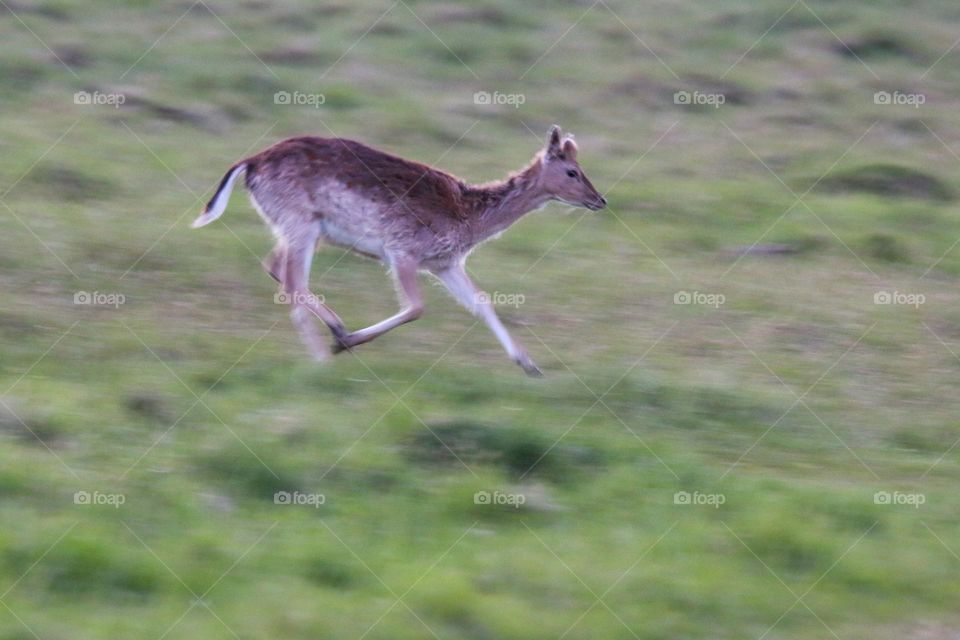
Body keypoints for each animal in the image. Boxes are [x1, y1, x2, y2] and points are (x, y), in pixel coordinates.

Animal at [191, 125, 604, 376]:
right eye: (572, 172)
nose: (600, 200)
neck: (469, 218)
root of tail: (249, 163)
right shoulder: (402, 250)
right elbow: (416, 307)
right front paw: (348, 342)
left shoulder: (445, 263)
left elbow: (482, 302)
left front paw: (530, 365)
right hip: (300, 222)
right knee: (292, 283)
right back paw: (326, 353)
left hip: (301, 228)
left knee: (276, 267)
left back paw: (336, 330)